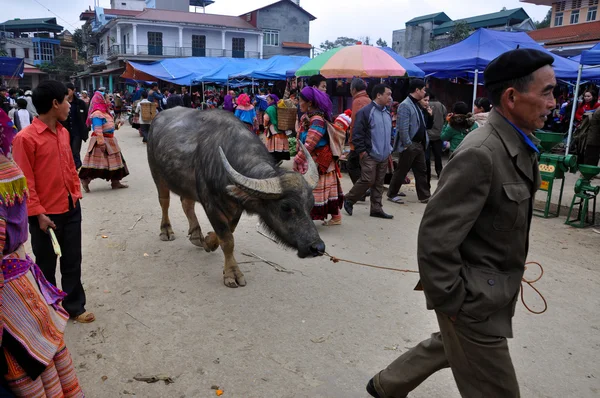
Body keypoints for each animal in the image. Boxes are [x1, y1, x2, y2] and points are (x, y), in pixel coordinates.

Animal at [148, 106, 326, 286]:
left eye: (311, 204)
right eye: (286, 207)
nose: (317, 247)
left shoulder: (236, 206)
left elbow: (229, 231)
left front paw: (209, 241)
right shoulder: (211, 205)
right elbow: (227, 240)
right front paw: (232, 273)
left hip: (185, 184)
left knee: (186, 203)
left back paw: (197, 235)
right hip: (157, 173)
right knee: (164, 201)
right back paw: (166, 231)